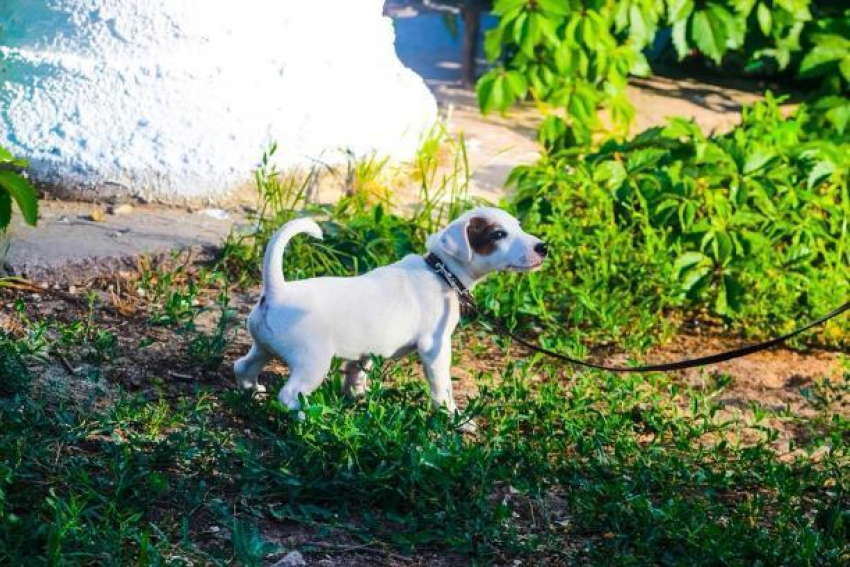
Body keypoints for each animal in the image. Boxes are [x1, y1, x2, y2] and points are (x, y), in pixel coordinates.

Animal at [235, 207, 548, 418]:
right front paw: (452, 416)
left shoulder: (365, 351)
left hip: (263, 347)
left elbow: (356, 373)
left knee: (243, 366)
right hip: (312, 362)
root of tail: (277, 291)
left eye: (518, 226)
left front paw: (357, 396)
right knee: (288, 394)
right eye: (498, 235)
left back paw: (253, 391)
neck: (441, 271)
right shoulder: (435, 348)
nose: (543, 247)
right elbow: (442, 387)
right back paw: (305, 416)